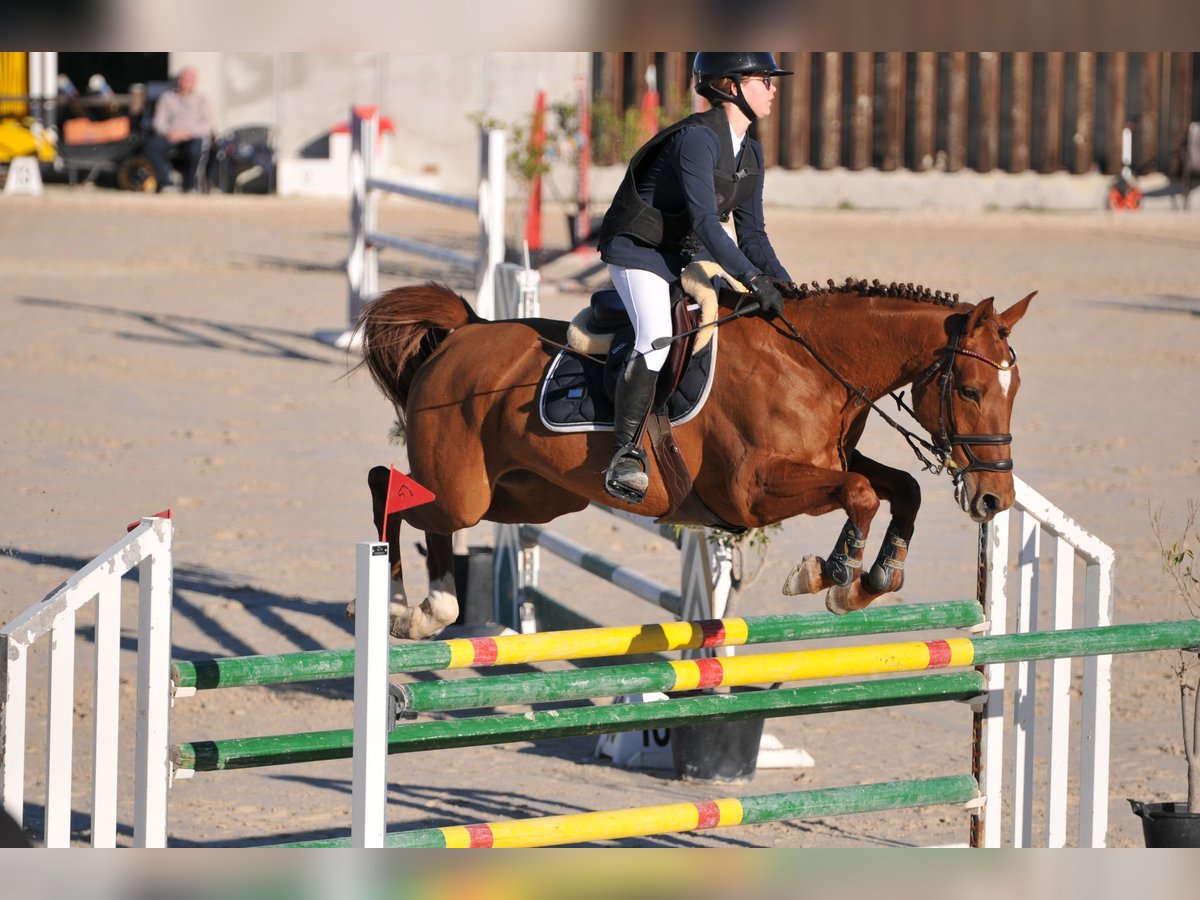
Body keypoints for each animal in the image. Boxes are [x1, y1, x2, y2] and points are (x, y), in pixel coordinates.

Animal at [348, 278, 1032, 638]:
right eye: (972, 391)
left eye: (1014, 390)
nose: (994, 499)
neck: (813, 365)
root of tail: (463, 333)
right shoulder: (752, 492)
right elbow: (861, 494)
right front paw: (829, 573)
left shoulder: (836, 457)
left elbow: (897, 489)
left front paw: (874, 578)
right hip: (464, 491)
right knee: (394, 492)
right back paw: (411, 608)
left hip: (533, 496)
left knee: (407, 498)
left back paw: (418, 609)